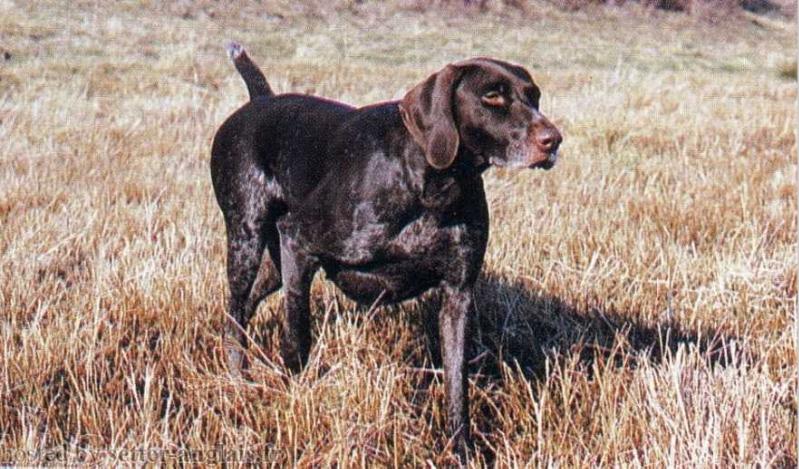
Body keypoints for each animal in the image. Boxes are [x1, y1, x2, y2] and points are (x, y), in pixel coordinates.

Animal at [212, 42, 564, 456]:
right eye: (492, 95)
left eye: (534, 96)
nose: (553, 140)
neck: (432, 185)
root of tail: (260, 101)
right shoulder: (298, 242)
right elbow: (298, 340)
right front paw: (294, 401)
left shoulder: (458, 294)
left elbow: (456, 382)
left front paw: (461, 449)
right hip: (247, 238)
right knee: (236, 310)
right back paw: (238, 380)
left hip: (274, 264)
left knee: (245, 308)